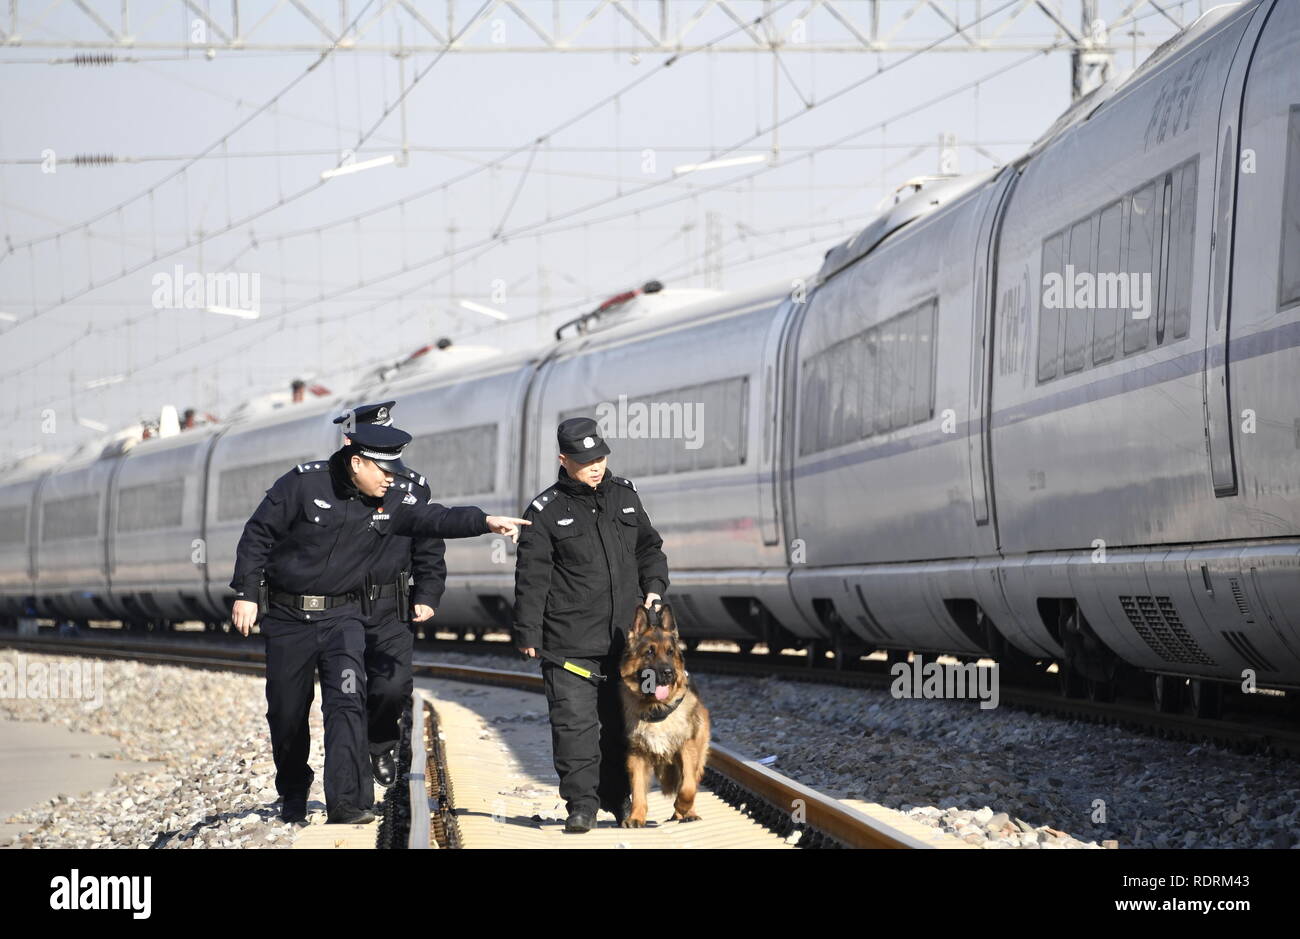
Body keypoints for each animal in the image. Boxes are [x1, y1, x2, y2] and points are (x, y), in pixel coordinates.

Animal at [618, 603, 712, 821]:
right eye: (649, 652)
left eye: (670, 652)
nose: (668, 673)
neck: (657, 708)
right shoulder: (636, 755)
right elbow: (637, 790)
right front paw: (636, 818)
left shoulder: (687, 748)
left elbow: (688, 787)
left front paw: (683, 807)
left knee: (691, 781)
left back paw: (688, 813)